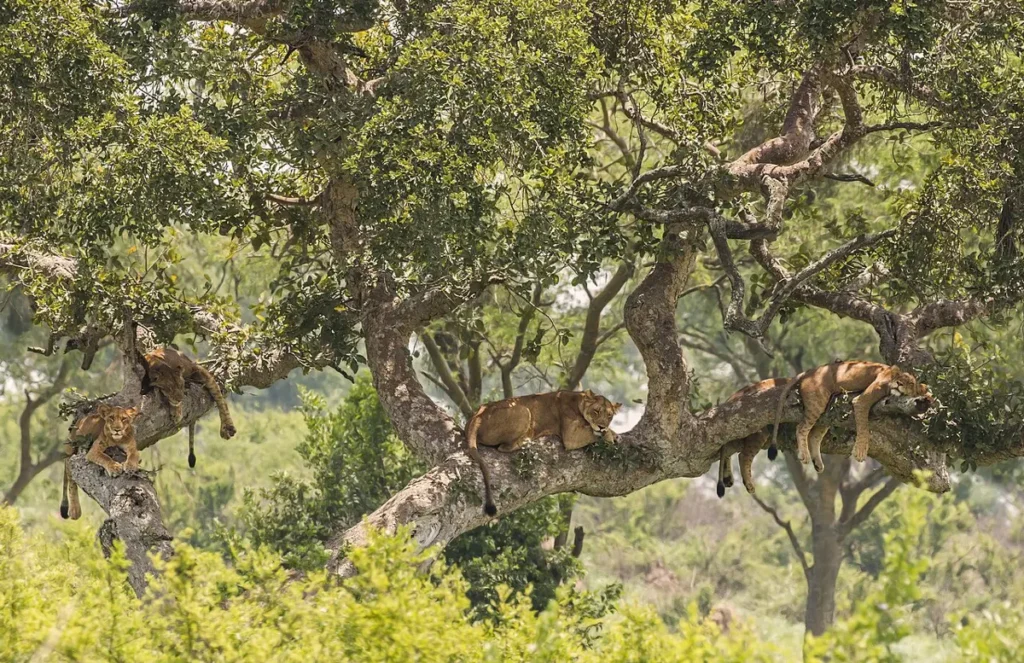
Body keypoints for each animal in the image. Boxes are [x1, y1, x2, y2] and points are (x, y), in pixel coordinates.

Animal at [465, 389, 621, 516]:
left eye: (609, 415)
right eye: (596, 411)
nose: (601, 426)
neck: (579, 401)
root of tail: (477, 415)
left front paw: (613, 434)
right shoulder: (571, 436)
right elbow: (593, 433)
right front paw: (608, 435)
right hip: (523, 410)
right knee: (504, 447)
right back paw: (527, 440)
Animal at [771, 361, 933, 472]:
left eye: (910, 383)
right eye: (899, 377)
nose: (899, 383)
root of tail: (810, 371)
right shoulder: (861, 401)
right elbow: (864, 427)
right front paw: (860, 451)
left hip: (826, 412)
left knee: (814, 435)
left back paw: (817, 463)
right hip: (818, 402)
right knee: (801, 427)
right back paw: (804, 455)